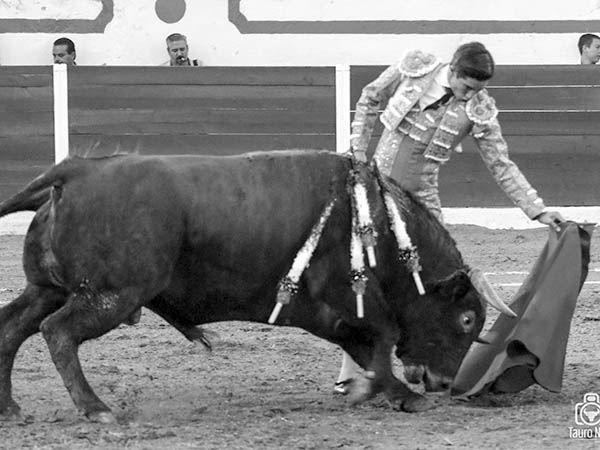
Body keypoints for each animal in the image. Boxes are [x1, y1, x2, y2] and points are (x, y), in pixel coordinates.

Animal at [0, 150, 497, 423]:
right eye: (466, 319)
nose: (445, 382)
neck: (383, 226)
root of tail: (75, 172)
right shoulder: (344, 294)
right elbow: (384, 336)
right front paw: (399, 395)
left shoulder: (327, 312)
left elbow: (368, 346)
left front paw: (372, 391)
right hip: (113, 294)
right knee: (58, 332)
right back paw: (95, 407)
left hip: (48, 289)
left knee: (12, 328)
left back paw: (11, 408)